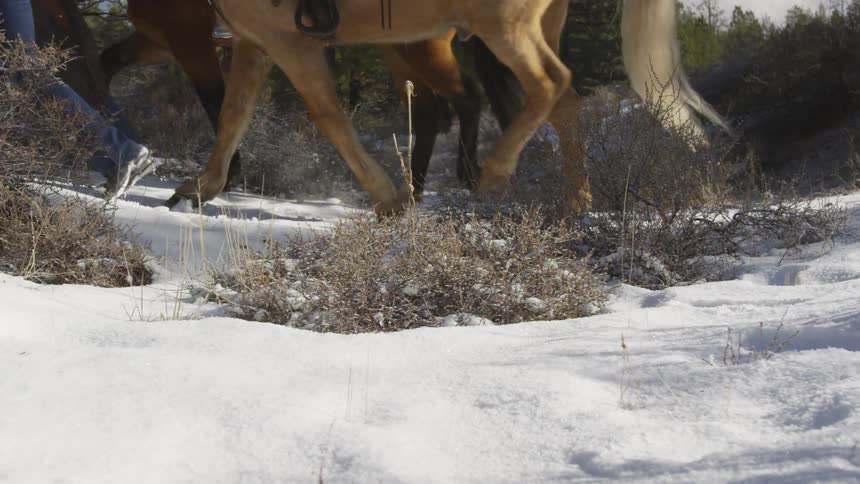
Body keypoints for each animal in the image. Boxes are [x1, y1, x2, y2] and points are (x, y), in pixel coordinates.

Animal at [100, 0, 485, 197]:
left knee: (466, 96)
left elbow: (217, 103)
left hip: (420, 44)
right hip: (401, 46)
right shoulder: (165, 38)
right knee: (428, 110)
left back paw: (463, 176)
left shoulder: (191, 36)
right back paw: (415, 190)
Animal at [169, 0, 727, 215]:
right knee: (564, 104)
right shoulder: (252, 40)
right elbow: (233, 116)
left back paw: (496, 174)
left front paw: (388, 198)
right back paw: (575, 200)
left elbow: (328, 117)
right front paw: (200, 187)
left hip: (504, 25)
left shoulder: (291, 43)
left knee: (548, 86)